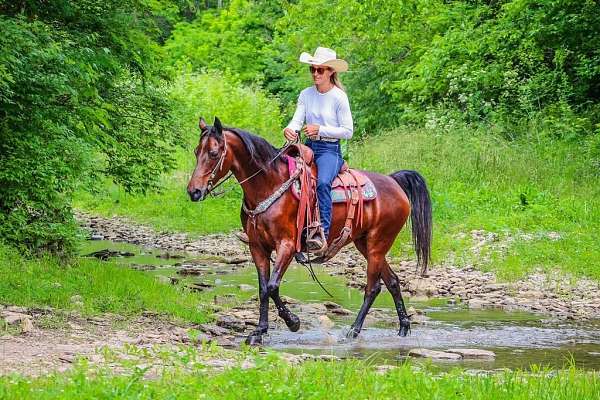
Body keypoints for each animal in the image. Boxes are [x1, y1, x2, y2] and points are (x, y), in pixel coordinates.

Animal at [188, 115, 432, 344]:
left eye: (213, 153)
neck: (269, 184)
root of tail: (394, 182)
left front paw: (292, 322)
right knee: (393, 281)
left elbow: (272, 286)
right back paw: (403, 328)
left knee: (373, 287)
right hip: (364, 243)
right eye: (196, 151)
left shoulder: (287, 245)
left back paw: (353, 331)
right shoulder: (257, 247)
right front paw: (259, 332)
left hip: (377, 244)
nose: (194, 192)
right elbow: (263, 288)